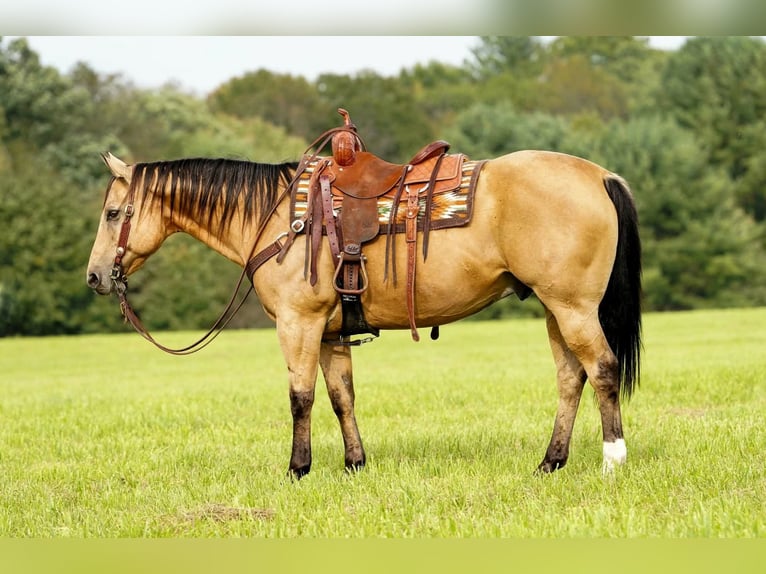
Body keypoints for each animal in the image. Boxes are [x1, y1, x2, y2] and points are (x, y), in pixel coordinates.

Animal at [86, 147, 641, 478]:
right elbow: (341, 398)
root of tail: (600, 175)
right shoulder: (330, 333)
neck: (278, 218)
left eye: (112, 213)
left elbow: (301, 398)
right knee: (571, 378)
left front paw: (298, 468)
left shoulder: (299, 324)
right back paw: (551, 461)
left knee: (602, 370)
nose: (94, 277)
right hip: (554, 309)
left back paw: (614, 459)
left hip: (573, 308)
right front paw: (355, 463)